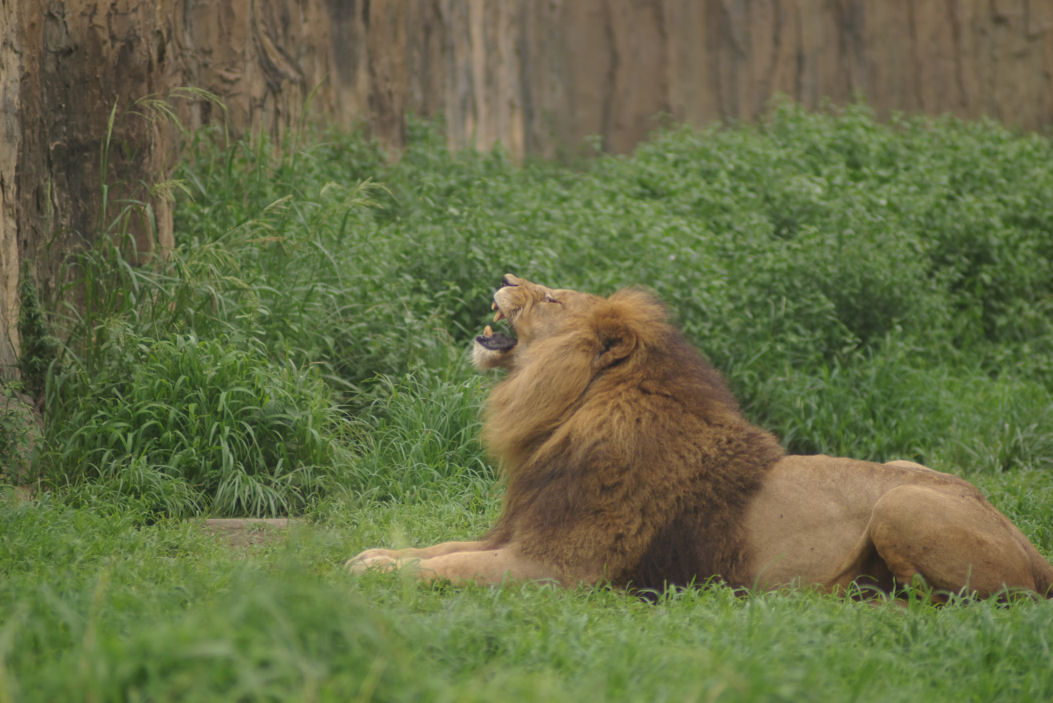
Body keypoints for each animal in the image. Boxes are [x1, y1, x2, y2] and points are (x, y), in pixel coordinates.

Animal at [347, 273, 1053, 597]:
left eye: (551, 299)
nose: (505, 276)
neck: (562, 413)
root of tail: (1031, 547)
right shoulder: (518, 532)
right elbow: (437, 548)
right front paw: (371, 556)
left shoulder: (559, 568)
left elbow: (450, 567)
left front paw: (374, 573)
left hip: (903, 503)